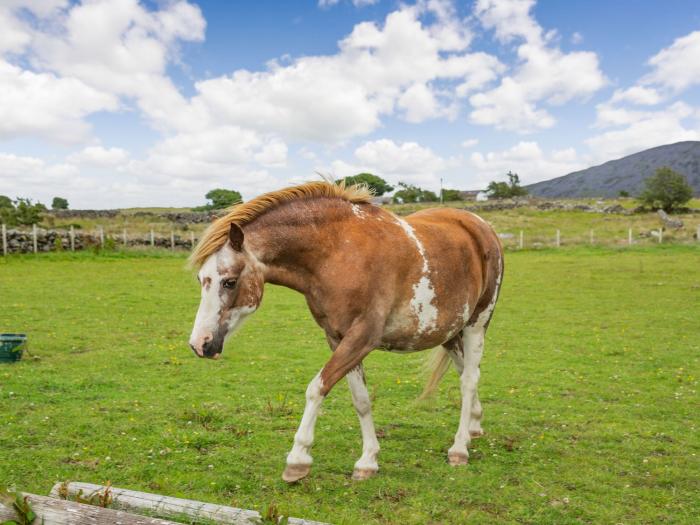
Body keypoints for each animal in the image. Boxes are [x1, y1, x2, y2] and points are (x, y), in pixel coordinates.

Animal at [187, 181, 504, 484]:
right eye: (202, 279)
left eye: (229, 282)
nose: (199, 344)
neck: (336, 252)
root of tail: (481, 226)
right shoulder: (337, 338)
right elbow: (361, 400)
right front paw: (368, 461)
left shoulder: (362, 337)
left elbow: (317, 388)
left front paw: (298, 460)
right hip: (449, 330)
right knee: (466, 373)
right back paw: (474, 426)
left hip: (477, 323)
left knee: (469, 381)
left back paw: (459, 448)